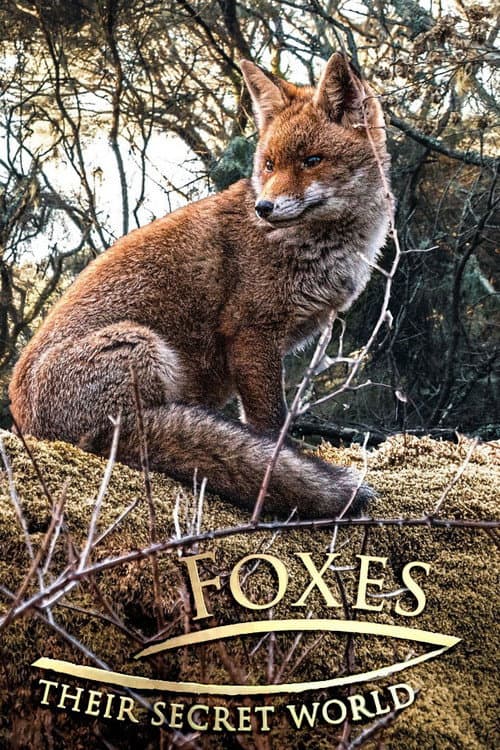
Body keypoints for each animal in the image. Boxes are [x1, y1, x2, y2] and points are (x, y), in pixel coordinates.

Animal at [9, 52, 391, 519]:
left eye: (312, 160)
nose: (264, 208)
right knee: (122, 440)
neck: (319, 248)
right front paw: (280, 462)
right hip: (141, 347)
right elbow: (270, 423)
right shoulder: (251, 333)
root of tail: (28, 424)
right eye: (269, 165)